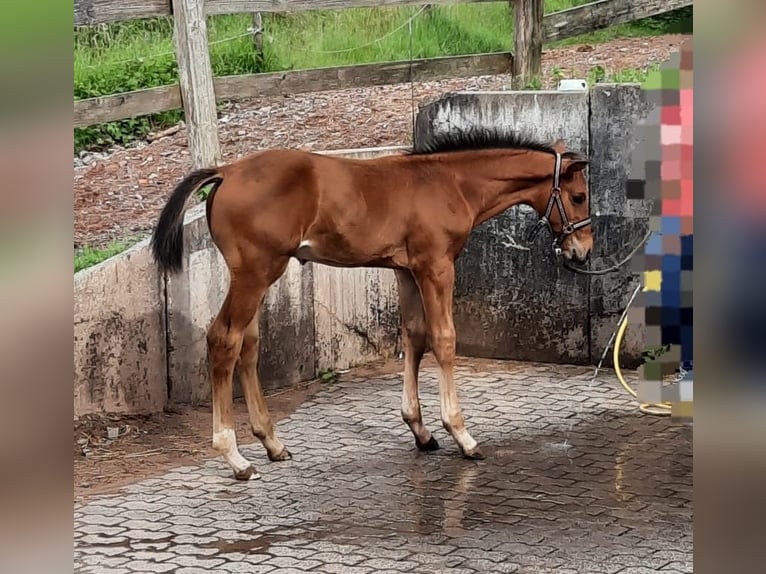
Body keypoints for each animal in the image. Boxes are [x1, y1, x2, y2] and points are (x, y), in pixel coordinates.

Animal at [152, 129, 592, 482]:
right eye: (579, 196)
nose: (582, 250)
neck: (449, 183)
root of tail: (226, 171)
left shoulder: (406, 270)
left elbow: (414, 336)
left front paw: (421, 431)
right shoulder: (436, 266)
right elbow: (444, 339)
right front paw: (462, 435)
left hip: (258, 278)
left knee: (249, 345)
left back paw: (272, 443)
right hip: (255, 274)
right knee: (224, 339)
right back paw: (236, 458)